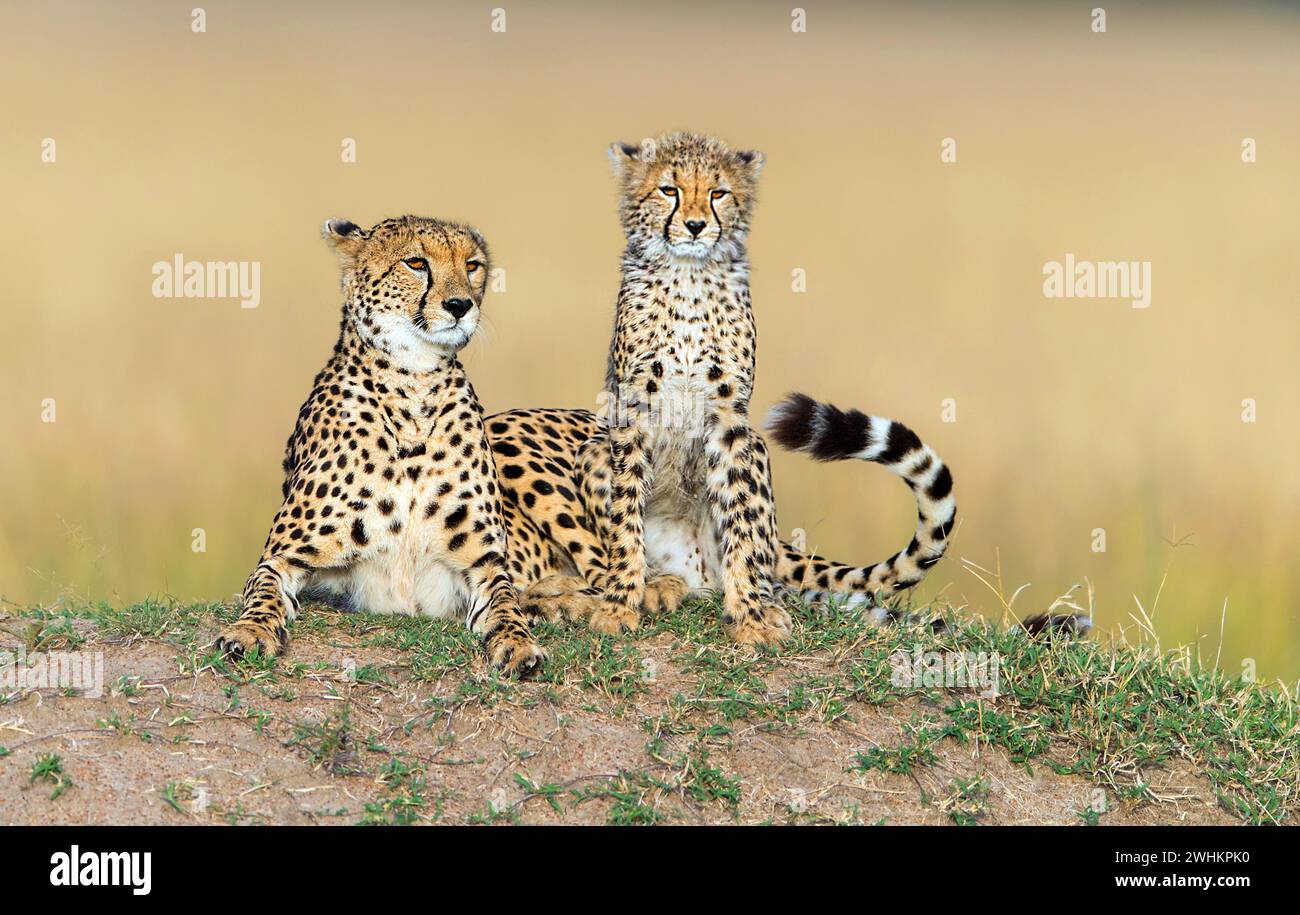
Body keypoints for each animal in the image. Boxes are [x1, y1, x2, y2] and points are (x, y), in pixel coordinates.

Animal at [215, 215, 551, 681]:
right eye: (416, 263)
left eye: (473, 265)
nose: (460, 306)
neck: (414, 382)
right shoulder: (283, 555)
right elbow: (263, 593)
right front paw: (248, 632)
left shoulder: (484, 563)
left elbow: (505, 605)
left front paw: (519, 644)